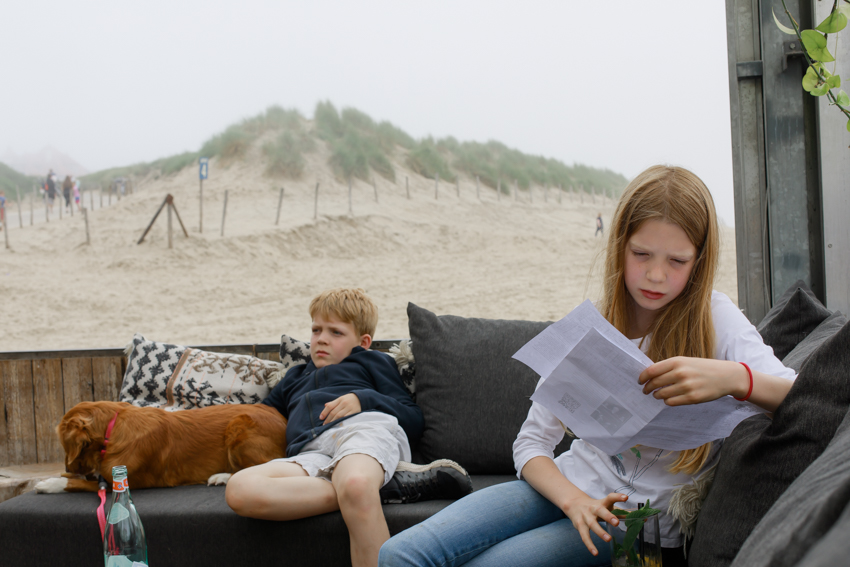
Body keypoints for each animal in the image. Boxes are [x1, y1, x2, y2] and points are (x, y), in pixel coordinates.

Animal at [34, 400, 286, 492]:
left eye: (64, 445)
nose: (69, 467)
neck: (112, 430)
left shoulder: (127, 482)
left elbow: (79, 484)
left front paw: (51, 483)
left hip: (239, 428)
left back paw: (221, 476)